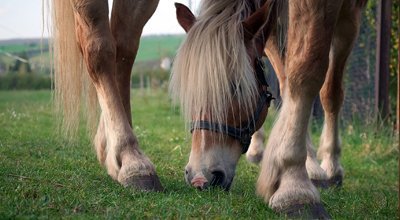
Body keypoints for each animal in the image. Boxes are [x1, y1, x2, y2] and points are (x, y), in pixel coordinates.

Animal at [52, 0, 366, 217]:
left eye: (238, 88)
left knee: (123, 45)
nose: (202, 177)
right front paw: (295, 181)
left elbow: (311, 76)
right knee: (101, 47)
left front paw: (311, 169)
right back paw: (130, 160)